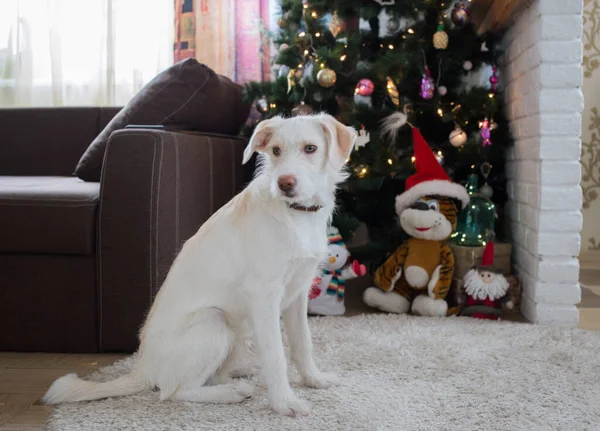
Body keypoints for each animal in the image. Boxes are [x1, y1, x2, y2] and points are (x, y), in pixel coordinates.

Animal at [45, 113, 360, 416]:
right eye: (276, 150)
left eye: (311, 149)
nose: (284, 183)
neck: (296, 214)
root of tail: (142, 368)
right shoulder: (264, 295)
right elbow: (276, 355)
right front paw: (284, 404)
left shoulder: (297, 292)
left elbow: (302, 343)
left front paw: (313, 379)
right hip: (214, 320)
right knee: (174, 392)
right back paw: (230, 392)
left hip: (239, 326)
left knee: (211, 375)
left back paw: (239, 373)